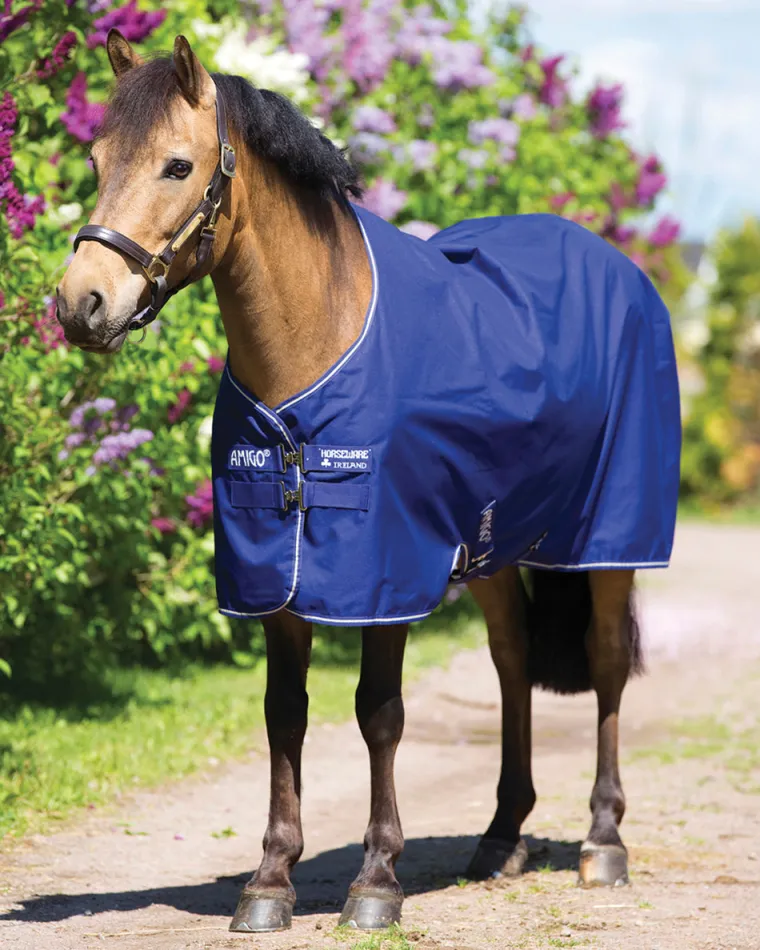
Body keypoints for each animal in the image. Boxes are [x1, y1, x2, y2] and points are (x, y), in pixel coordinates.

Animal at [56, 30, 680, 934]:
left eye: (177, 165)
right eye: (96, 160)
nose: (82, 303)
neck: (317, 343)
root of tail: (620, 270)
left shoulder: (384, 572)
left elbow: (378, 713)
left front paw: (377, 880)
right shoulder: (276, 573)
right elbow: (285, 714)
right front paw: (269, 881)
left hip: (608, 541)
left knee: (601, 664)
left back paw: (603, 841)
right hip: (489, 547)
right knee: (512, 660)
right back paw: (501, 837)